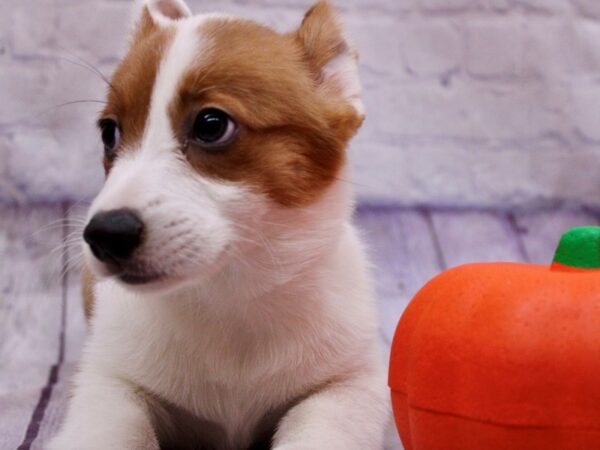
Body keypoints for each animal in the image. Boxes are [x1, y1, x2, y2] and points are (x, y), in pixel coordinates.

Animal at [50, 1, 390, 448]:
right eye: (110, 132)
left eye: (211, 125)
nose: (105, 235)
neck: (231, 296)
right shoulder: (110, 382)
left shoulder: (348, 386)